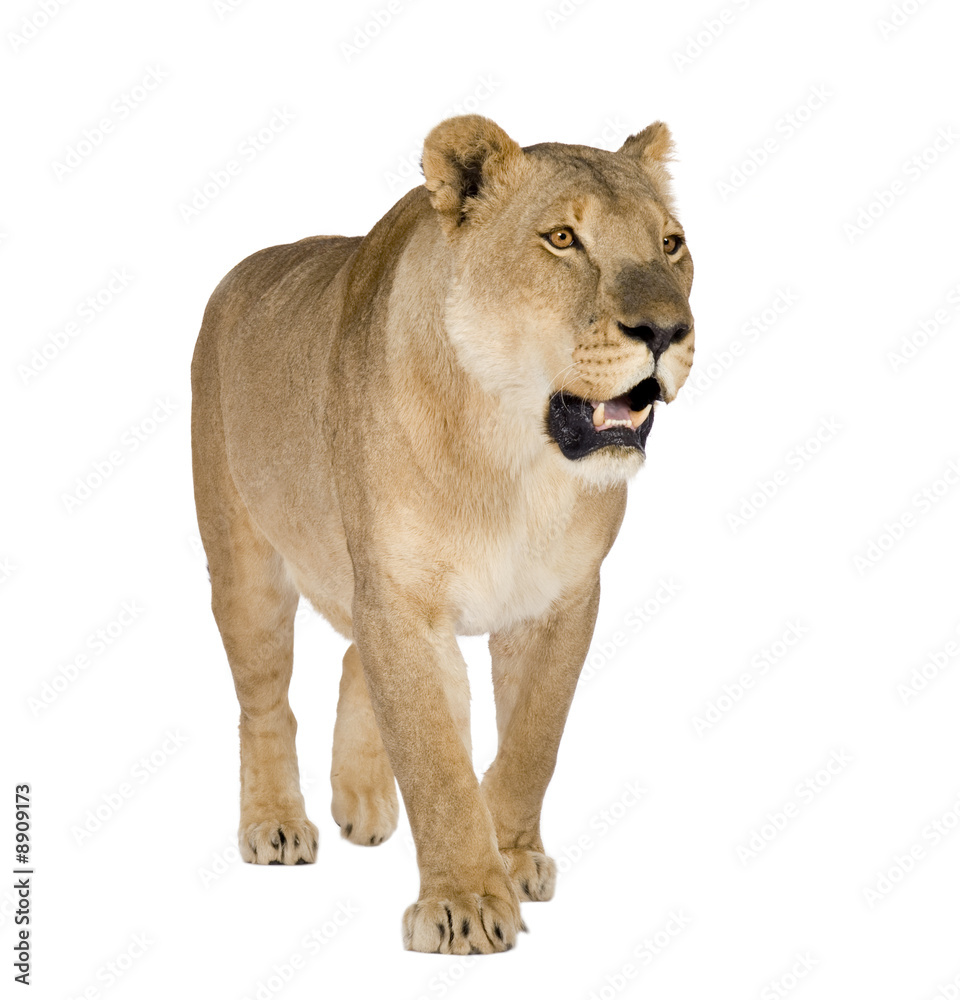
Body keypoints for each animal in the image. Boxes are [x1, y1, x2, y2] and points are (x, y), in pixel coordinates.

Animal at [191, 114, 694, 954]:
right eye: (562, 238)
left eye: (671, 243)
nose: (667, 329)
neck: (513, 457)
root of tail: (241, 271)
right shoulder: (401, 601)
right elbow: (435, 760)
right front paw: (463, 902)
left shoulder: (563, 601)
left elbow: (531, 743)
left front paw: (511, 856)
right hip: (244, 566)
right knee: (265, 705)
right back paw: (276, 823)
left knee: (352, 658)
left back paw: (363, 803)